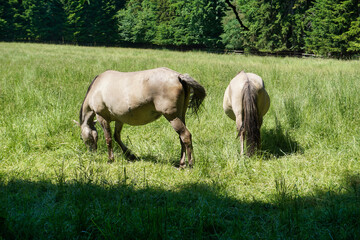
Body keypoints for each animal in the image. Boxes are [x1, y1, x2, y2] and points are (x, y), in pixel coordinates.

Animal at [74, 67, 205, 169]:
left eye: (82, 137)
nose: (92, 153)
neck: (97, 87)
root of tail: (178, 76)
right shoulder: (119, 120)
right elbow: (117, 137)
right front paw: (130, 155)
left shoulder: (102, 118)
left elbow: (109, 138)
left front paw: (110, 159)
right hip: (180, 116)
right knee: (181, 138)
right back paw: (182, 163)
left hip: (173, 117)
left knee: (185, 136)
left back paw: (190, 164)